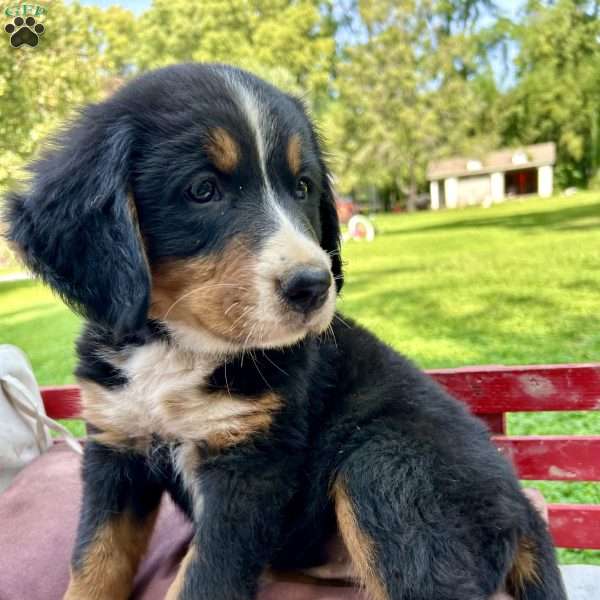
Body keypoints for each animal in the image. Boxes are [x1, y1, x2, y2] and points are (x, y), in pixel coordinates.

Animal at [5, 63, 568, 596]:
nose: (313, 286)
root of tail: (522, 506)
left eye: (302, 187)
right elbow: (95, 561)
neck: (179, 348)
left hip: (383, 463)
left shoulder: (250, 468)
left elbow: (203, 579)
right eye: (202, 190)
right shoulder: (116, 445)